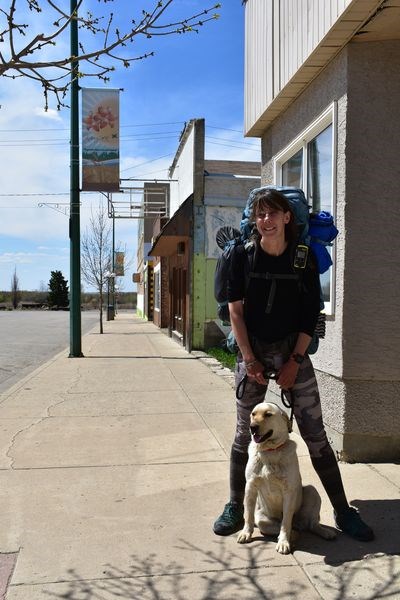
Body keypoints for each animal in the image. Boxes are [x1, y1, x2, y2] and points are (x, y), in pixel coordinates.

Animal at [236, 400, 336, 556]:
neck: (270, 451)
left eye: (268, 414)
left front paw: (283, 542)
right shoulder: (250, 487)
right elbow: (248, 515)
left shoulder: (289, 492)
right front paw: (246, 533)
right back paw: (294, 534)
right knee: (276, 526)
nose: (252, 427)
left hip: (311, 491)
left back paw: (325, 532)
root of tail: (300, 524)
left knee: (312, 524)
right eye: (253, 414)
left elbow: (285, 522)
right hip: (262, 518)